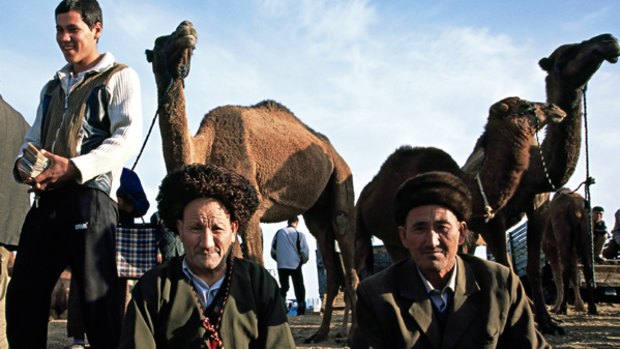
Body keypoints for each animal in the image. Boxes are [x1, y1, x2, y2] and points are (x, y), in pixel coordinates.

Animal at [147, 20, 358, 342]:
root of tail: (335, 152)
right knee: (329, 251)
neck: (206, 148)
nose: (186, 27)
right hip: (317, 208)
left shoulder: (252, 209)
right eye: (159, 43)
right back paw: (321, 334)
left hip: (342, 177)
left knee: (345, 232)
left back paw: (353, 333)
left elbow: (256, 265)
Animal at [472, 34, 616, 334]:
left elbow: (534, 270)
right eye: (565, 55)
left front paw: (548, 321)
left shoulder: (537, 206)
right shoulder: (495, 219)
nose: (609, 41)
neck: (532, 171)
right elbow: (507, 266)